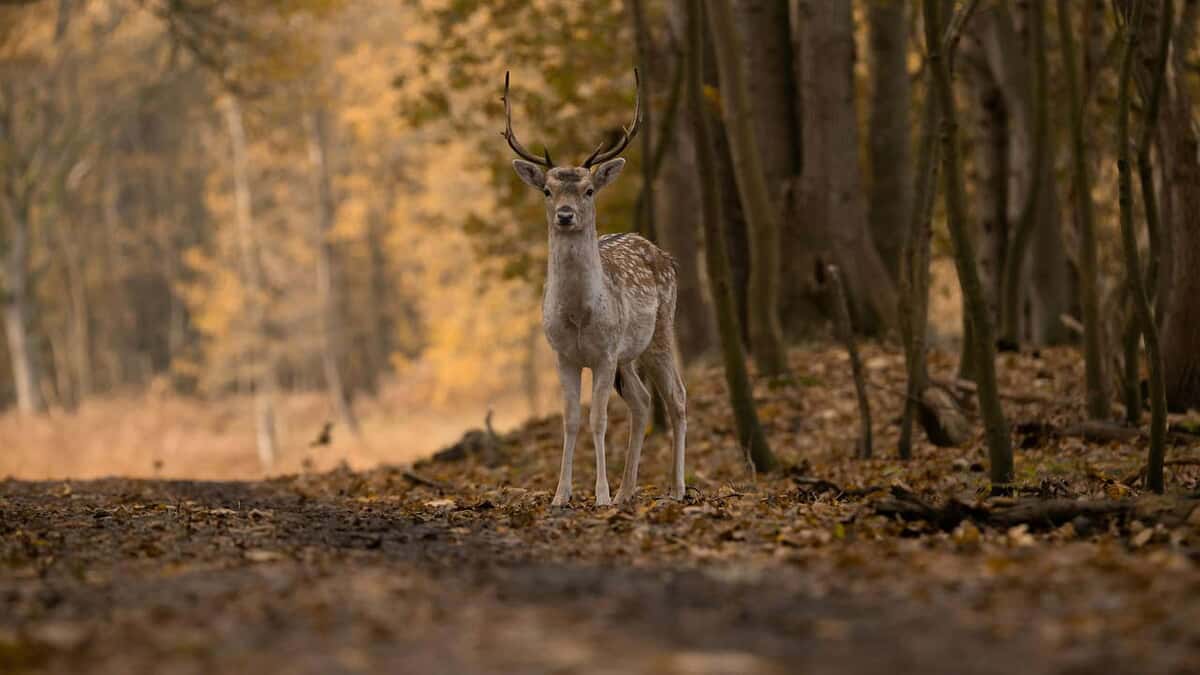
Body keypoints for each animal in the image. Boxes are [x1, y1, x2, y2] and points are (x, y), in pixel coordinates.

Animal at [503, 70, 687, 507]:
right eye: (548, 190)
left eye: (588, 190)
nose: (566, 215)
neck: (578, 316)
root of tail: (665, 255)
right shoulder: (563, 355)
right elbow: (571, 420)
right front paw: (561, 495)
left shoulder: (604, 353)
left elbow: (598, 419)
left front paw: (599, 495)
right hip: (629, 356)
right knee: (642, 402)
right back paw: (627, 492)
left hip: (660, 332)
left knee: (676, 398)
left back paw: (676, 488)